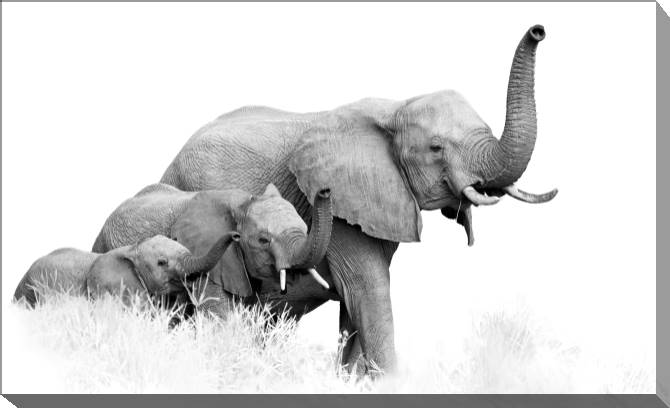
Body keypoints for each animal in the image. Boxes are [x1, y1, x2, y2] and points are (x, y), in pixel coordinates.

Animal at [148, 25, 556, 374]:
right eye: (436, 148)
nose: (538, 30)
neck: (396, 107)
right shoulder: (344, 210)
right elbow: (367, 291)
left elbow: (356, 306)